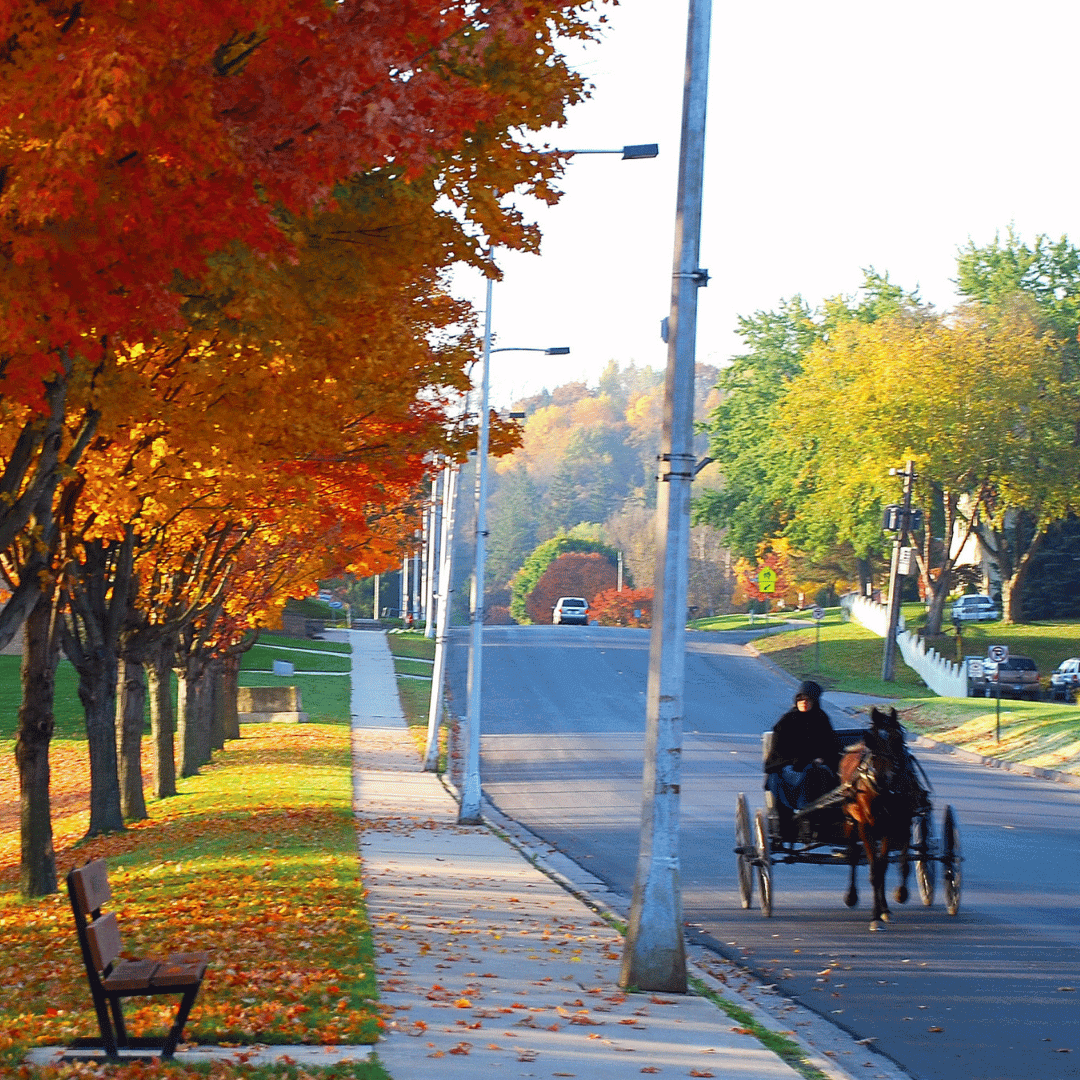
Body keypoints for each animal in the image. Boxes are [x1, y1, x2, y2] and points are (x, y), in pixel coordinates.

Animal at [833, 708, 920, 928]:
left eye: (898, 739)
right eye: (871, 740)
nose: (880, 778)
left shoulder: (892, 826)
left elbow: (885, 867)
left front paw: (887, 907)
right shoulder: (866, 826)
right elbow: (874, 871)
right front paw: (875, 916)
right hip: (850, 821)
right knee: (853, 856)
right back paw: (852, 896)